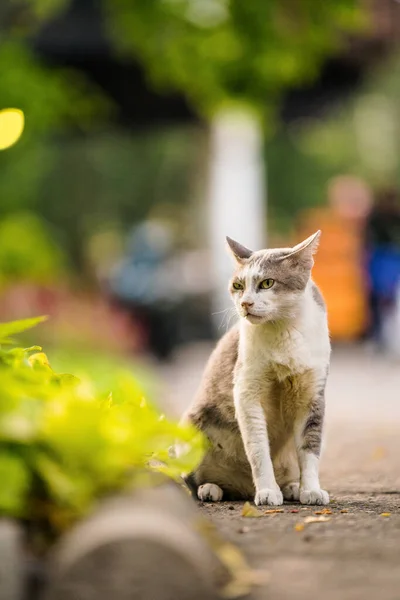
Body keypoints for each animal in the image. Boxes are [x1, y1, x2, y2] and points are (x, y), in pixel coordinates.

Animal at [183, 232, 330, 504]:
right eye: (238, 286)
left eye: (267, 283)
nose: (246, 304)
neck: (284, 328)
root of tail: (243, 489)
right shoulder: (247, 391)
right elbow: (258, 448)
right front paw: (268, 491)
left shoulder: (312, 394)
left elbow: (310, 447)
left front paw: (311, 490)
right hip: (190, 430)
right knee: (193, 481)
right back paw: (210, 489)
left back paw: (291, 487)